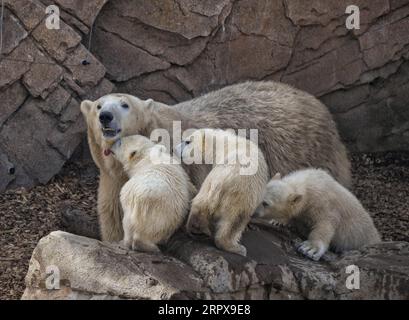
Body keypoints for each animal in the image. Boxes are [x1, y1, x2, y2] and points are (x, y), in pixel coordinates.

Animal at [80, 80, 350, 242]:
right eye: (98, 105)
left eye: (125, 104)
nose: (106, 116)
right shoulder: (112, 177)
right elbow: (113, 210)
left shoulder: (189, 165)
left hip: (307, 150)